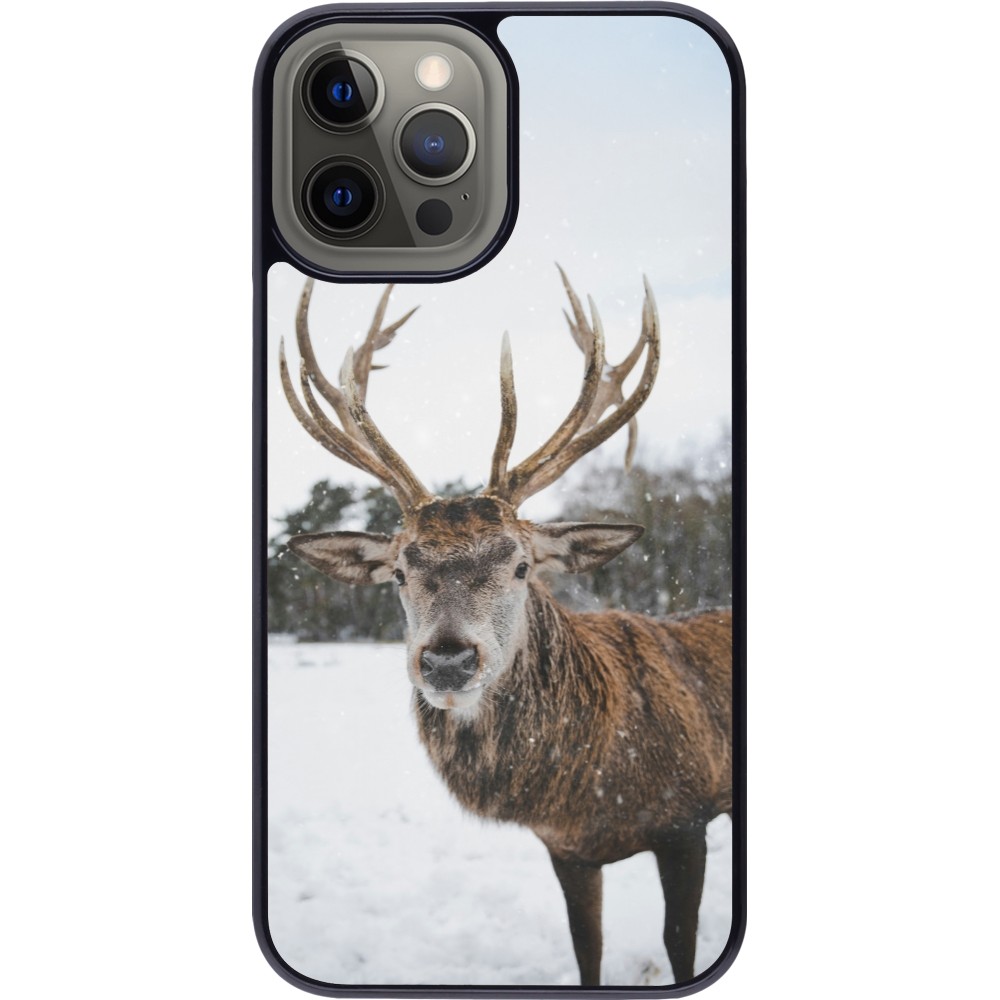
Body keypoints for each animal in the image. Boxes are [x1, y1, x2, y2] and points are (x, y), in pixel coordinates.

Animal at [277, 269, 733, 986]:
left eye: (521, 565)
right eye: (399, 572)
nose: (447, 660)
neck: (591, 786)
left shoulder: (688, 820)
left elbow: (679, 944)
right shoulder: (567, 849)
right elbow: (587, 948)